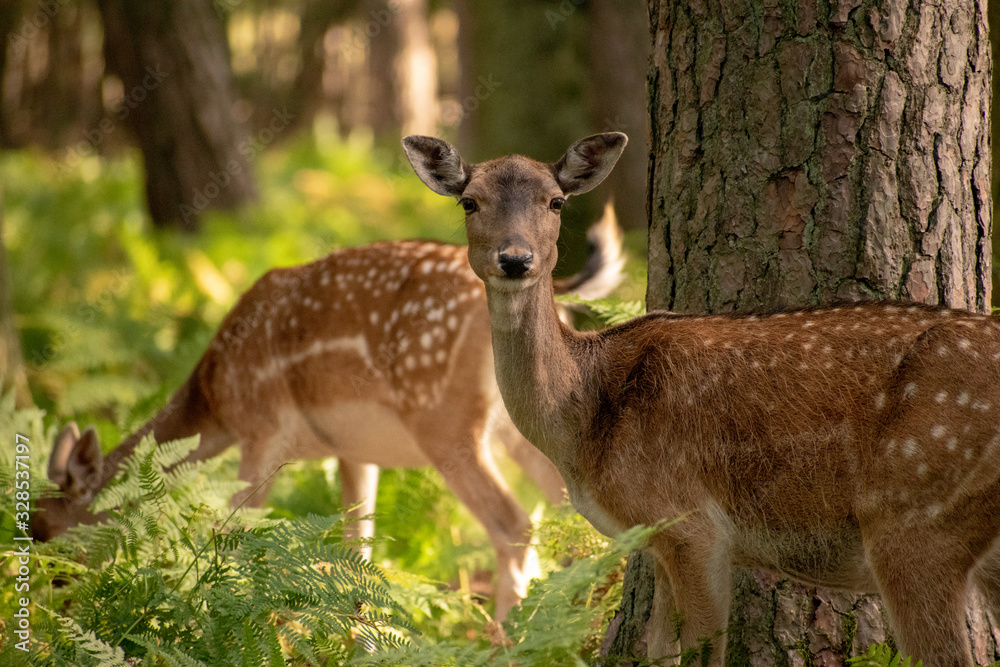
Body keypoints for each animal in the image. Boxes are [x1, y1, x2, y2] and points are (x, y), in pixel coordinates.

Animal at [37, 210, 624, 628]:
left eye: (50, 531)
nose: (52, 606)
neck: (214, 397)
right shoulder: (353, 450)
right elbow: (356, 547)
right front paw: (355, 635)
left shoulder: (263, 431)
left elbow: (237, 533)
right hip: (520, 422)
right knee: (570, 510)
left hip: (444, 418)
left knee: (516, 522)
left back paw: (506, 636)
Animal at [402, 132, 1000, 667]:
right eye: (469, 200)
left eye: (556, 200)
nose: (515, 259)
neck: (586, 426)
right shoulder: (659, 539)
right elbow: (659, 653)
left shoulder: (692, 522)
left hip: (915, 514)